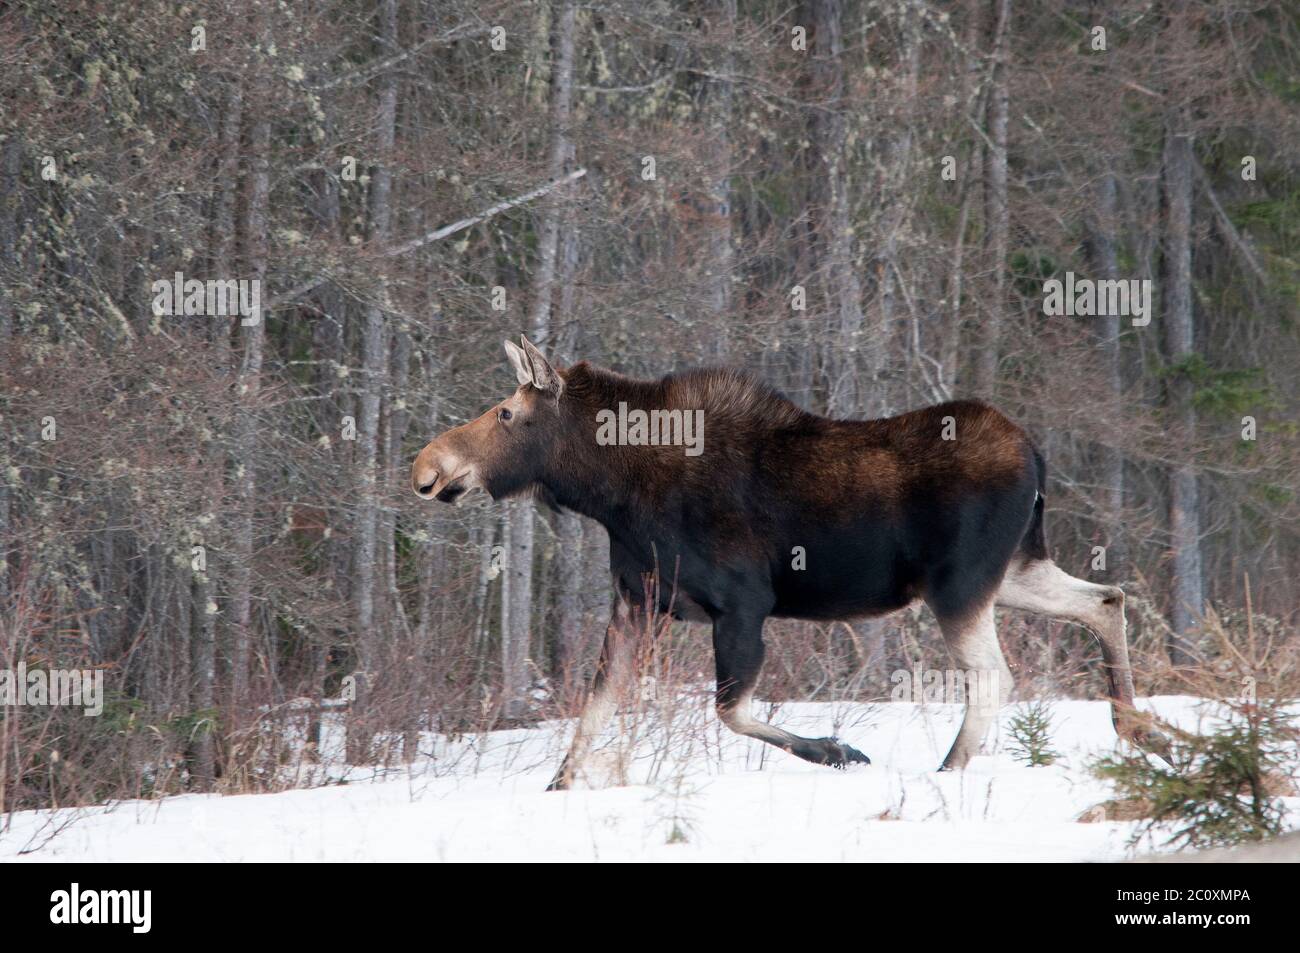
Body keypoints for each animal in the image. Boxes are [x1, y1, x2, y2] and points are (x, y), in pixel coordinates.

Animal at [410, 335, 1164, 790]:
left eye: (506, 412)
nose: (427, 467)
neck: (613, 494)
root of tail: (1037, 455)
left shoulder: (742, 603)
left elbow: (729, 709)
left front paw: (839, 750)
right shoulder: (638, 601)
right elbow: (596, 705)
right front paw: (559, 784)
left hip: (959, 586)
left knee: (995, 677)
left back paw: (948, 771)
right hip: (1008, 573)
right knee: (1107, 599)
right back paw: (1134, 727)